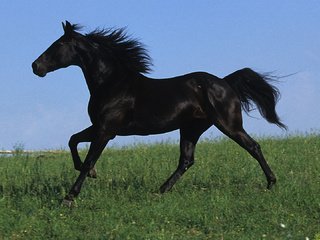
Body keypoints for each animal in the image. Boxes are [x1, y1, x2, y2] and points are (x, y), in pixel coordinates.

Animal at [32, 21, 288, 206]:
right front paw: (92, 174)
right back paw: (160, 191)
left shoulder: (105, 130)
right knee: (186, 160)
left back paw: (271, 183)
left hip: (228, 124)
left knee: (253, 146)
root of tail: (226, 83)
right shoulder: (101, 128)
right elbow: (73, 140)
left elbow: (87, 160)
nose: (36, 66)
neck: (112, 84)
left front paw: (69, 197)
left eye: (58, 45)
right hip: (191, 128)